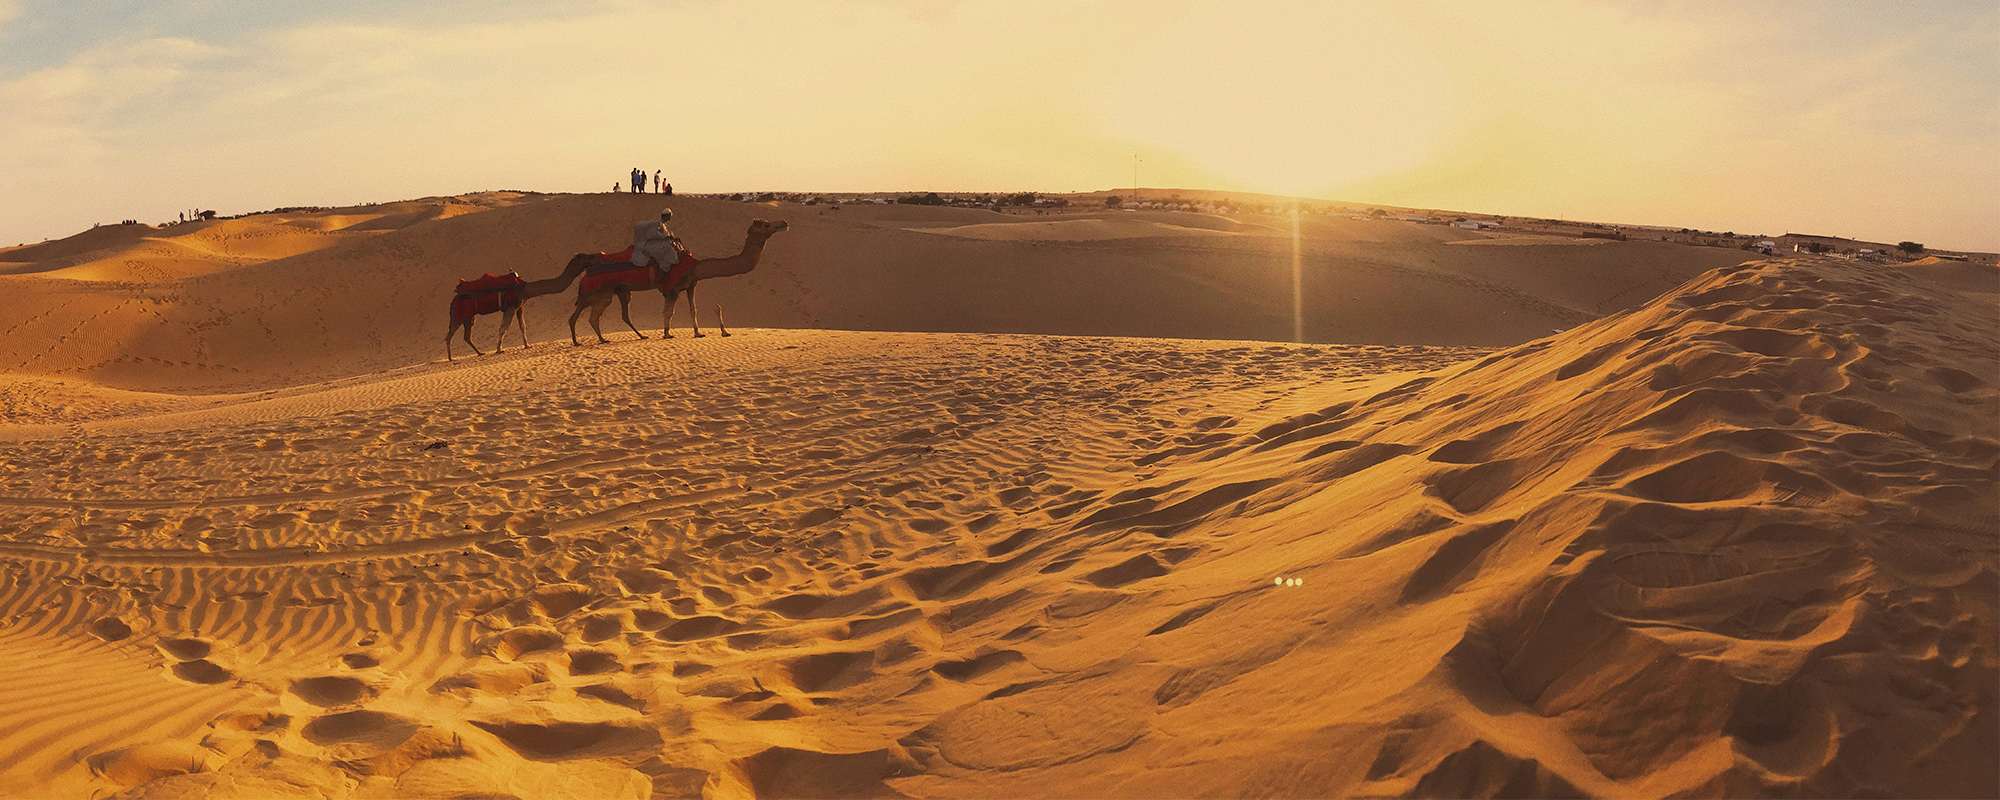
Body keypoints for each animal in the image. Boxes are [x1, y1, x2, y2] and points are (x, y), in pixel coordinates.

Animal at [444, 252, 588, 360]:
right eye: (587, 257)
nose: (593, 255)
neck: (525, 288)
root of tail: (452, 301)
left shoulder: (520, 306)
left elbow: (522, 327)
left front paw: (527, 345)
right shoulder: (511, 306)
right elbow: (503, 328)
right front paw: (499, 349)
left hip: (469, 317)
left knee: (466, 336)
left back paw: (479, 353)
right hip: (460, 314)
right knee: (450, 334)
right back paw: (451, 358)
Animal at [572, 219, 788, 344]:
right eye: (766, 224)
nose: (784, 223)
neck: (694, 265)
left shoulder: (690, 285)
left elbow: (693, 309)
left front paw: (698, 333)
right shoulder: (672, 288)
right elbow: (668, 311)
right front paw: (667, 334)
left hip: (609, 292)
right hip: (601, 293)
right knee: (592, 316)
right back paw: (599, 340)